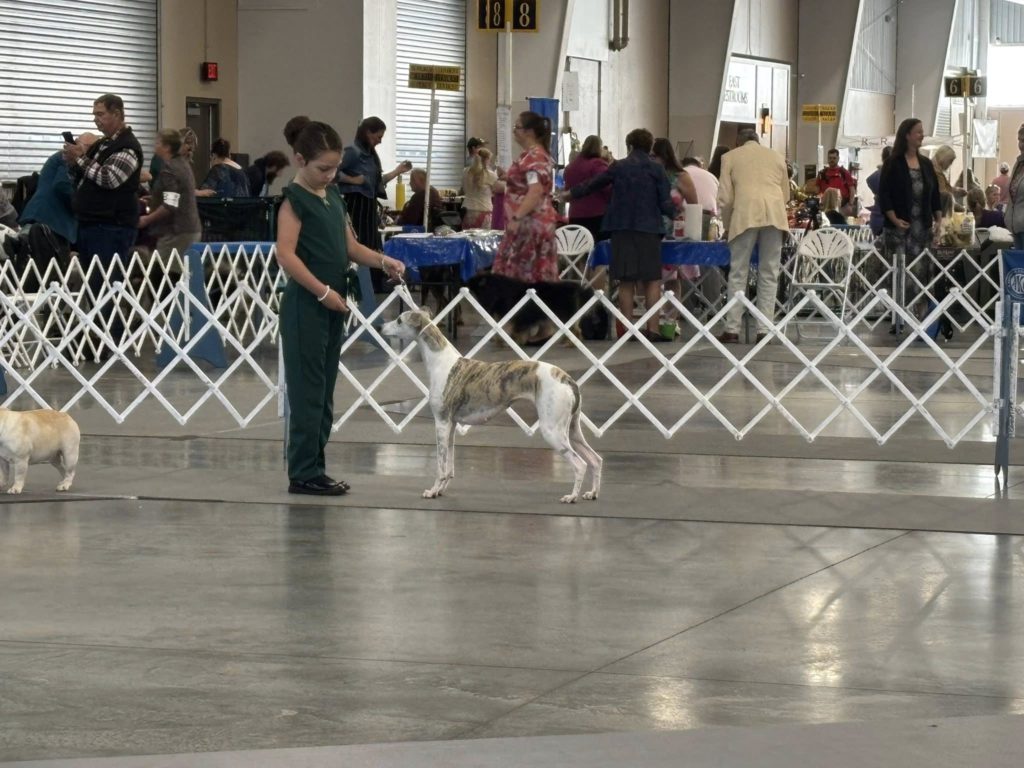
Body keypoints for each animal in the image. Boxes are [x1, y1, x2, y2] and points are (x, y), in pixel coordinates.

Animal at [381, 308, 602, 503]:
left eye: (399, 320)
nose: (381, 326)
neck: (441, 362)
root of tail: (567, 379)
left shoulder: (441, 423)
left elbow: (441, 466)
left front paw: (433, 490)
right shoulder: (451, 425)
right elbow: (449, 466)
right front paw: (441, 490)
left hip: (552, 431)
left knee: (580, 464)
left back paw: (571, 497)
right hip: (572, 429)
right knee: (595, 459)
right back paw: (592, 494)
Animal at [466, 273, 599, 345]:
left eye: (476, 293)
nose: (478, 305)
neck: (500, 292)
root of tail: (577, 289)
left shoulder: (518, 319)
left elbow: (514, 331)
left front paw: (515, 341)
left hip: (562, 318)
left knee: (574, 331)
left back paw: (569, 343)